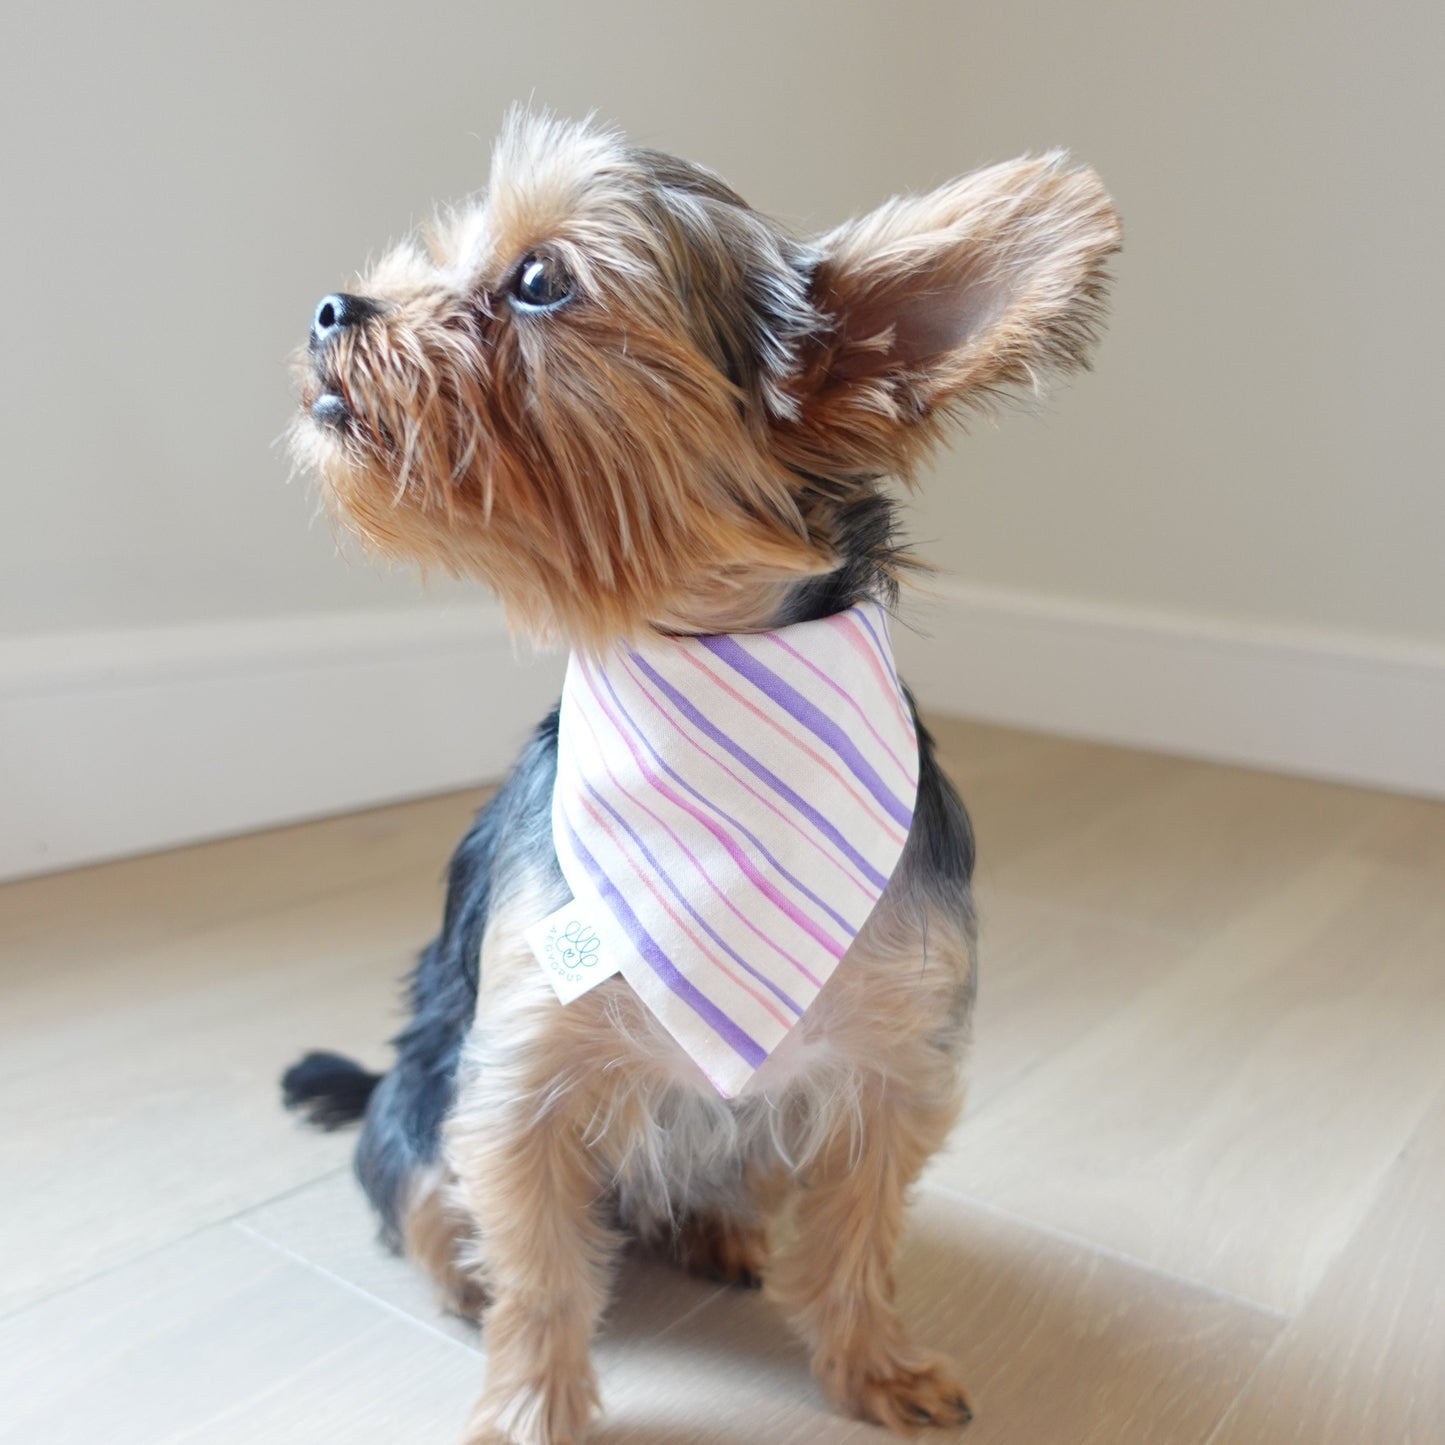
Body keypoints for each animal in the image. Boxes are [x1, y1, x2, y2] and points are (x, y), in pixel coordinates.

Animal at [278, 109, 1115, 1445]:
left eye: (537, 279)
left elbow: (859, 1237)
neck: (712, 662)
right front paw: (531, 1404)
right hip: (418, 1093)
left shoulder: (888, 1064)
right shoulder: (523, 1077)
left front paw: (874, 1363)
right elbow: (542, 1270)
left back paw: (719, 1230)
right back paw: (460, 1272)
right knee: (421, 1193)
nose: (327, 307)